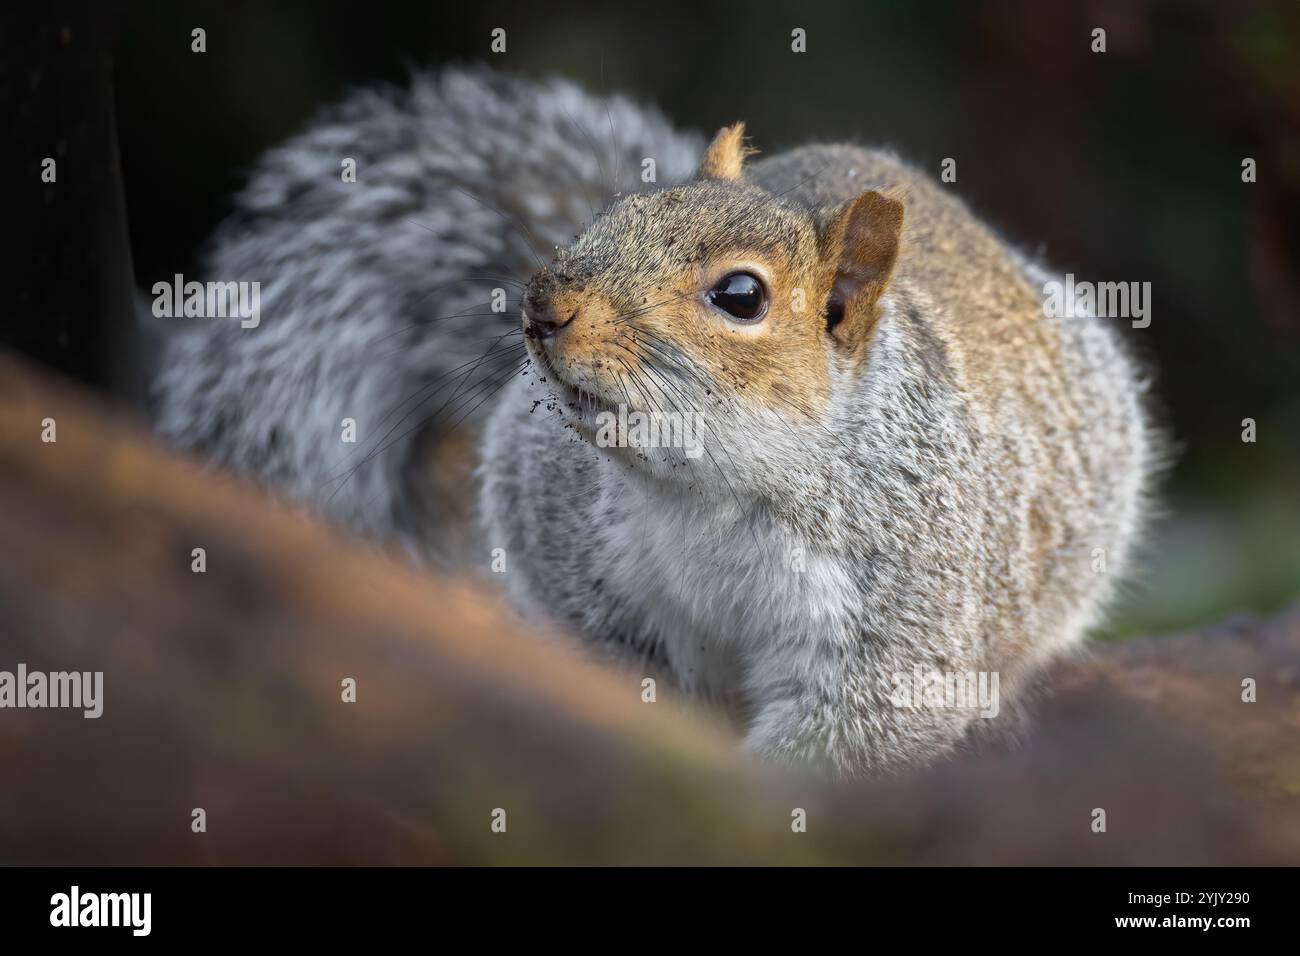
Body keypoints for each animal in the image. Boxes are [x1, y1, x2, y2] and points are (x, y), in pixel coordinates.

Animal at [152, 65, 1159, 780]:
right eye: (618, 211)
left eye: (742, 296)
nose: (542, 304)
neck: (710, 490)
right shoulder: (571, 551)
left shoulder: (901, 600)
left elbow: (861, 726)